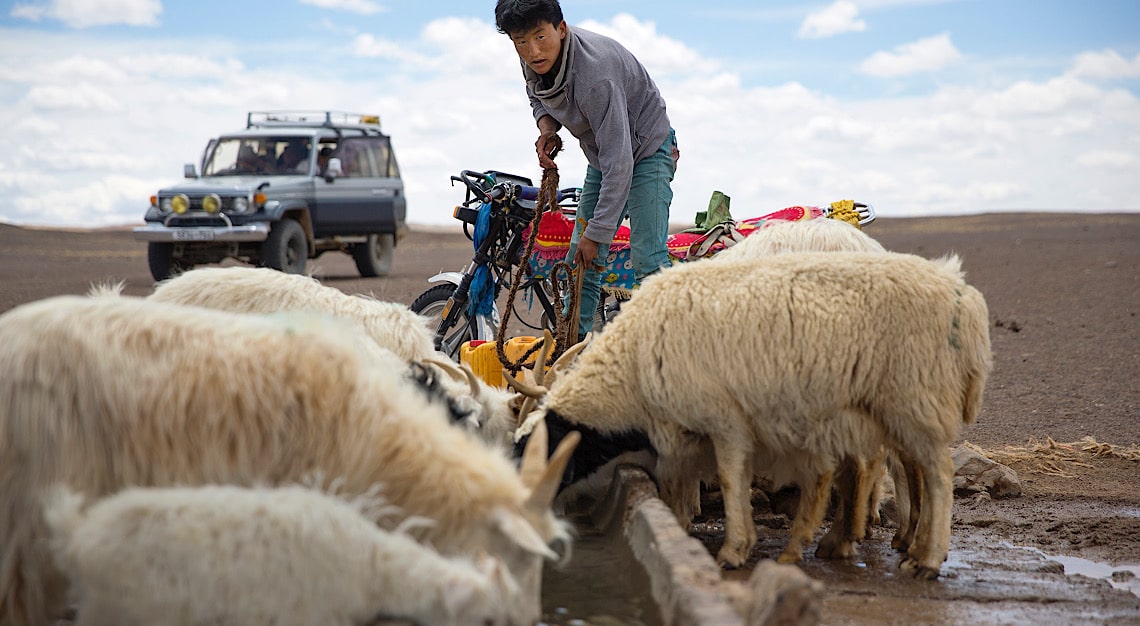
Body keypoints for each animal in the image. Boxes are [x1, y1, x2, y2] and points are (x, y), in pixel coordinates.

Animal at [517, 250, 989, 579]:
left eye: (539, 450)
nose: (527, 507)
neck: (629, 369)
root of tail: (964, 298)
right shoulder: (688, 429)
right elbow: (683, 480)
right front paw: (689, 524)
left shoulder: (724, 419)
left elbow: (729, 479)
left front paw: (733, 549)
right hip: (888, 408)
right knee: (908, 469)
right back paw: (892, 545)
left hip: (914, 397)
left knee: (937, 473)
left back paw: (927, 558)